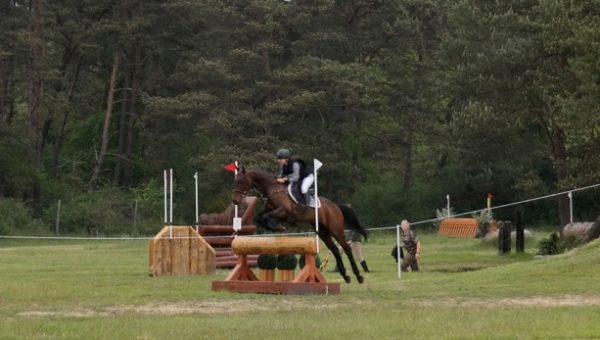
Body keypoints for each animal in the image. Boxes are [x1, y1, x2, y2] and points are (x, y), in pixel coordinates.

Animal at [232, 168, 368, 284]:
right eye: (236, 181)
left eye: (241, 181)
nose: (235, 201)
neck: (273, 188)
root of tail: (335, 206)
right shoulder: (270, 209)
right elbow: (259, 217)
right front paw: (275, 227)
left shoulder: (283, 211)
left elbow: (266, 216)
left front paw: (278, 227)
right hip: (323, 232)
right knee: (334, 250)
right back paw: (345, 276)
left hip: (336, 230)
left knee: (347, 249)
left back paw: (358, 276)